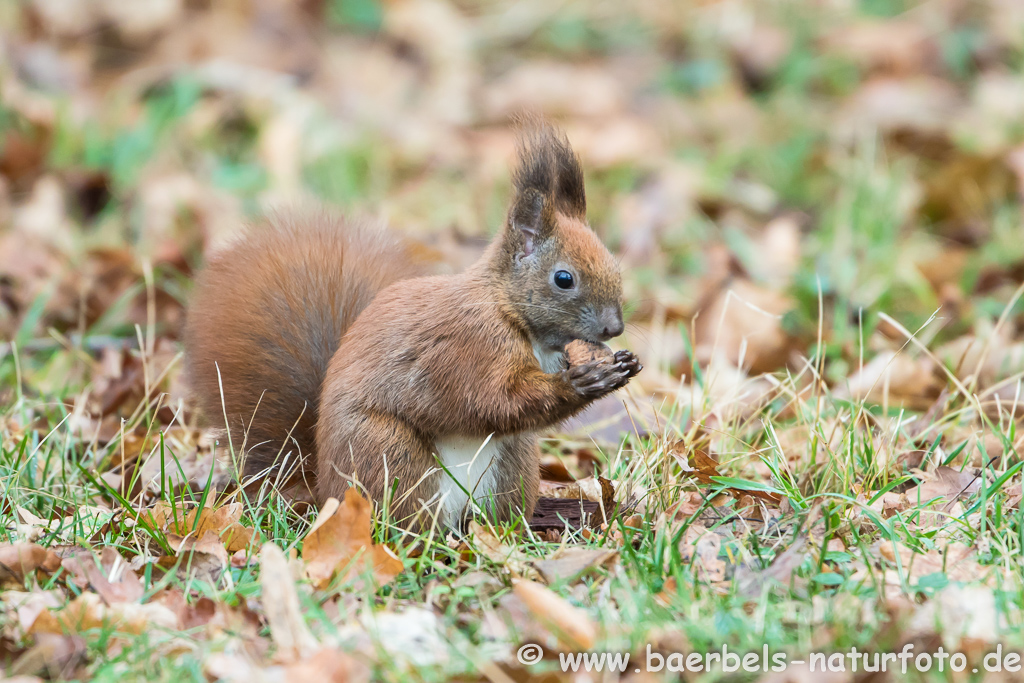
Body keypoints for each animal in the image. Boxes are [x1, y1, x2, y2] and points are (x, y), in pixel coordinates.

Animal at [184, 125, 638, 532]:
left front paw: (624, 365)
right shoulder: (467, 346)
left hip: (512, 465)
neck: (512, 315)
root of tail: (326, 494)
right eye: (564, 279)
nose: (614, 327)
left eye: (615, 264)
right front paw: (582, 381)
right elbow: (491, 401)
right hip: (389, 455)